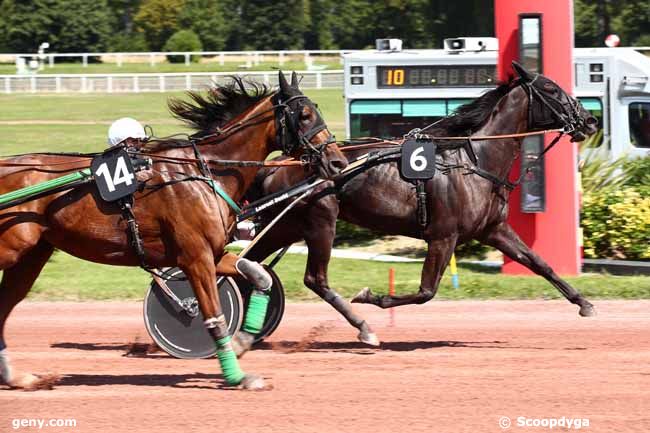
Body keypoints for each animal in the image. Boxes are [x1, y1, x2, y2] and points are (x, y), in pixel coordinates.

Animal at [0, 71, 344, 388]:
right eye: (304, 115)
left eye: (315, 109)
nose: (338, 161)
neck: (205, 173)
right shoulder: (195, 258)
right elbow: (214, 316)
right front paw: (236, 375)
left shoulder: (210, 253)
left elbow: (259, 276)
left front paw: (243, 342)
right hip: (12, 248)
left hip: (32, 256)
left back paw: (14, 377)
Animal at [243, 61, 596, 344]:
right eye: (551, 88)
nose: (589, 120)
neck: (473, 161)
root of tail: (277, 165)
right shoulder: (443, 236)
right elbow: (426, 292)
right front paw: (371, 296)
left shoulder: (493, 229)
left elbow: (539, 263)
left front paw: (584, 303)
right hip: (320, 222)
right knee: (312, 278)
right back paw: (362, 328)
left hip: (288, 226)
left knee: (250, 264)